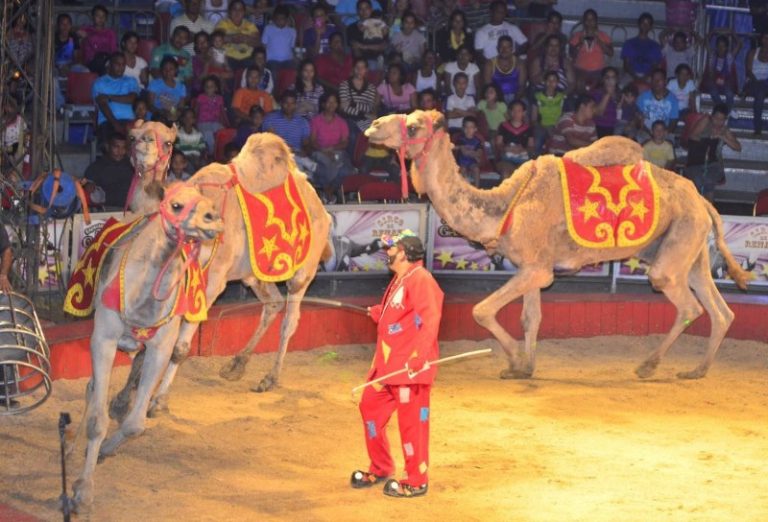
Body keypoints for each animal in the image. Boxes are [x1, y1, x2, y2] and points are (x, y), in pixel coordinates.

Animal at [71, 181, 225, 506]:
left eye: (207, 200)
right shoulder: (104, 337)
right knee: (92, 389)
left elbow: (135, 424)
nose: (212, 220)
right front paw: (82, 489)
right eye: (177, 205)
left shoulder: (160, 347)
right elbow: (97, 419)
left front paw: (106, 450)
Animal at [110, 131, 332, 418]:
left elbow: (179, 348)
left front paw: (158, 402)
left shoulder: (212, 282)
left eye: (167, 141)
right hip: (253, 272)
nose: (141, 143)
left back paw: (269, 379)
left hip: (303, 269)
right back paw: (236, 365)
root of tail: (323, 210)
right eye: (133, 136)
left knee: (290, 319)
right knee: (272, 302)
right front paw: (121, 400)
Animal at [366, 109, 752, 378]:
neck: (504, 207)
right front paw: (524, 367)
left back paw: (647, 366)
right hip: (692, 248)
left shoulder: (537, 269)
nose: (373, 125)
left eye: (414, 126)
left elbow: (482, 310)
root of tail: (702, 200)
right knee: (721, 309)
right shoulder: (533, 267)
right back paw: (696, 371)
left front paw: (516, 360)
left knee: (686, 304)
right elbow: (530, 317)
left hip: (676, 248)